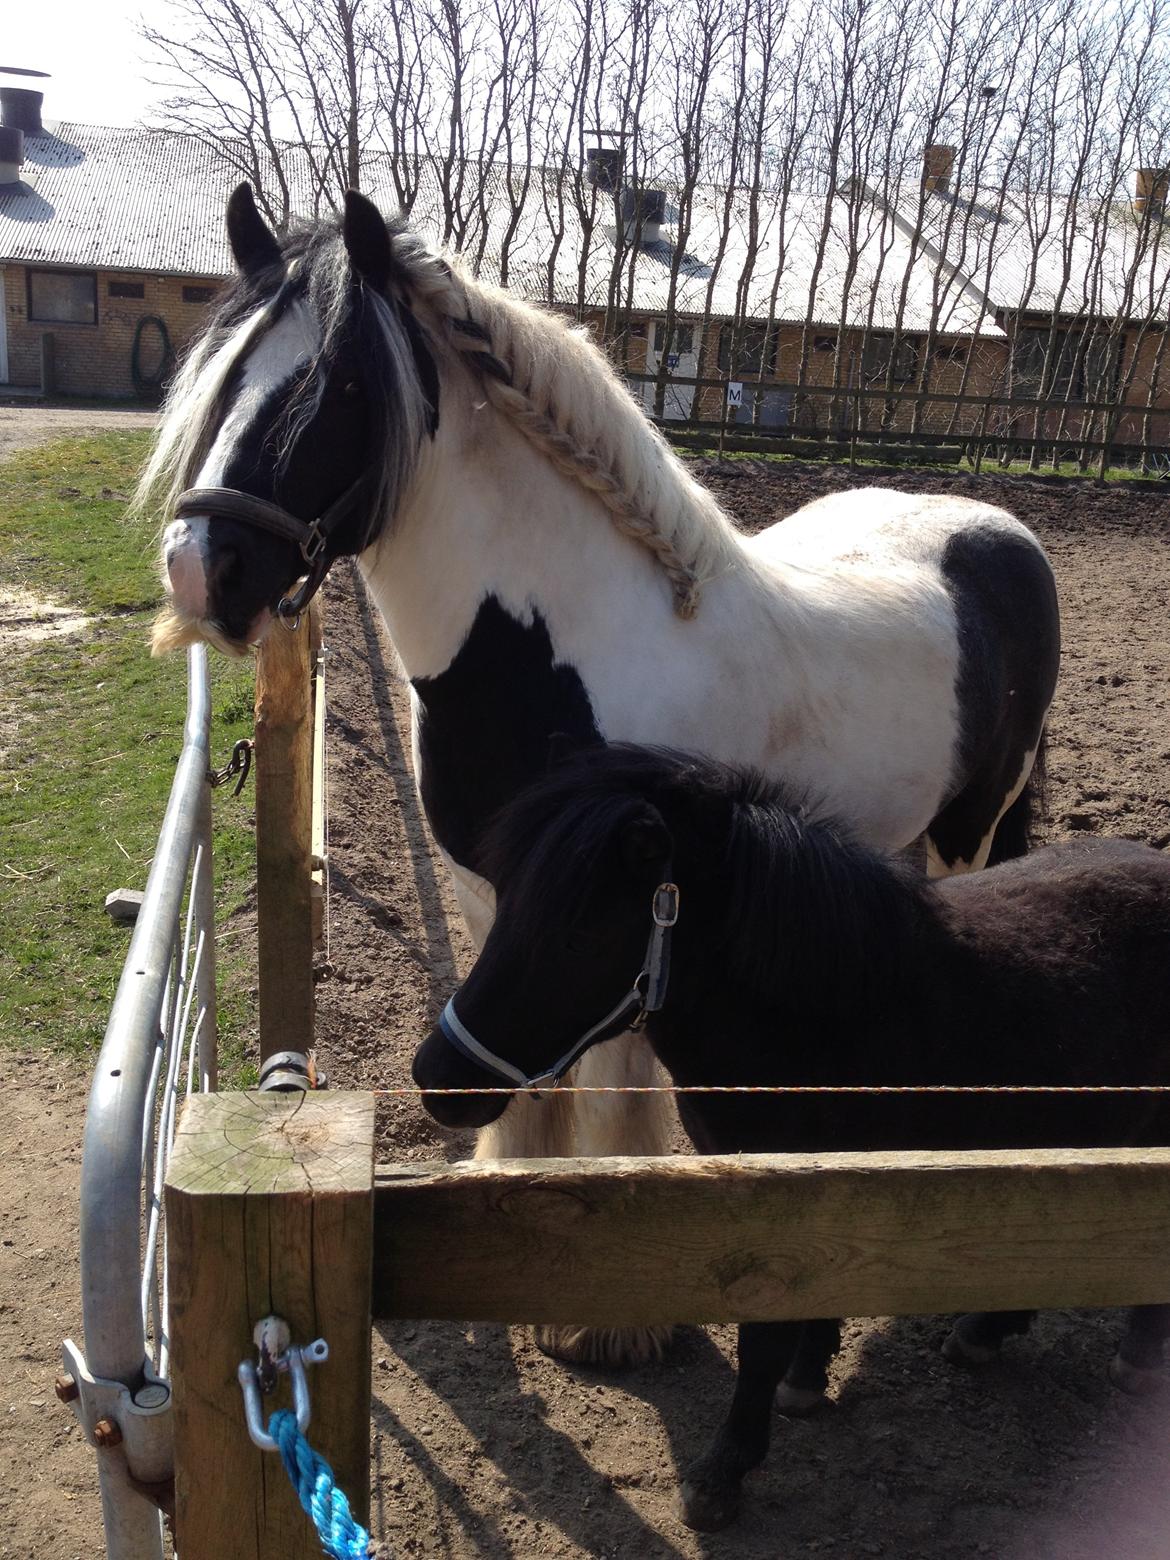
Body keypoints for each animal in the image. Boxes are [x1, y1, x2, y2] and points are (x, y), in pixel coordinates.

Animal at [144, 179, 1060, 1354]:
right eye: (225, 380)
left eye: (337, 384)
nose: (199, 574)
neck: (556, 652)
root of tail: (999, 530)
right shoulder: (495, 892)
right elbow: (527, 1063)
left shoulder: (636, 909)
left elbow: (617, 1088)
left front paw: (619, 1323)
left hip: (971, 831)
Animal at [408, 745, 1170, 1535]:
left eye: (577, 935)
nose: (437, 1079)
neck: (825, 1018)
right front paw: (807, 1380)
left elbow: (764, 1336)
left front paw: (723, 1472)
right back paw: (988, 1330)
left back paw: (1138, 1359)